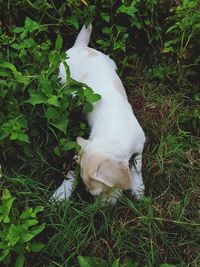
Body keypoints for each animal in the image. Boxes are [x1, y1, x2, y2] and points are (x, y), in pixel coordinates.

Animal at [51, 25, 145, 205]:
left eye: (104, 190)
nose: (102, 209)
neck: (113, 133)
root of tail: (80, 46)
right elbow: (73, 170)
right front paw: (62, 193)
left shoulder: (140, 146)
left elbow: (137, 166)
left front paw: (138, 187)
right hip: (61, 77)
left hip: (110, 62)